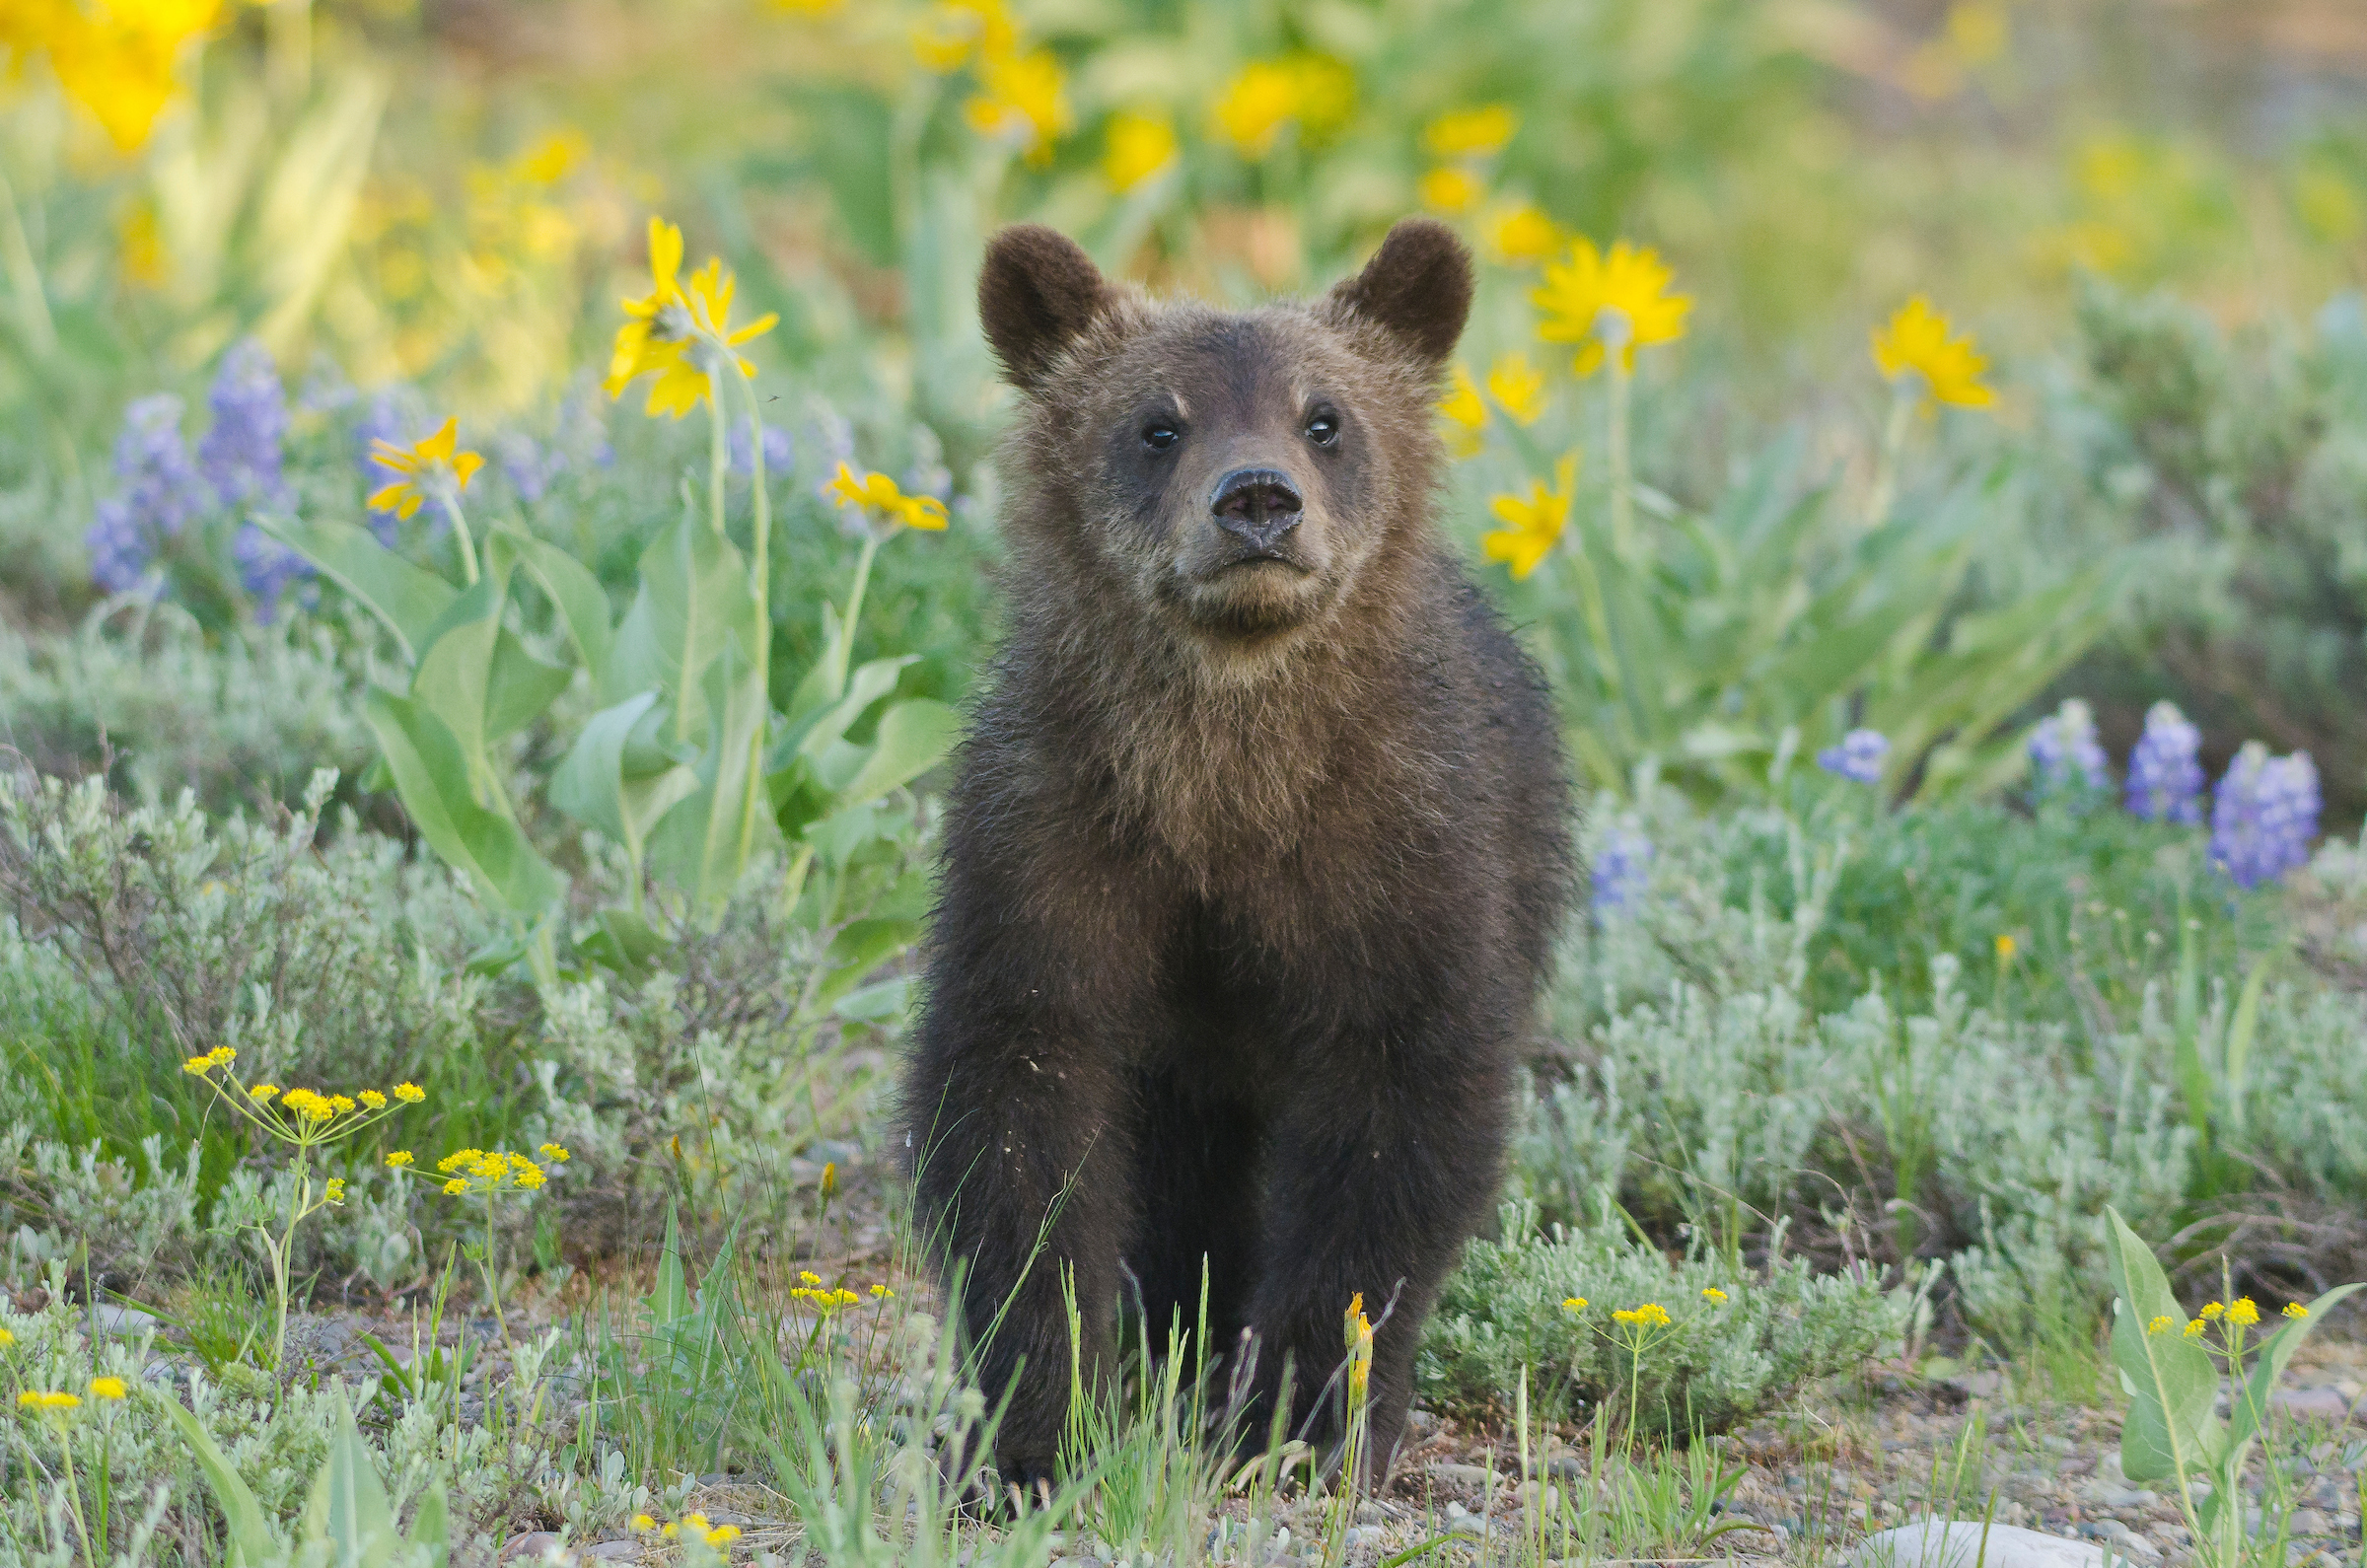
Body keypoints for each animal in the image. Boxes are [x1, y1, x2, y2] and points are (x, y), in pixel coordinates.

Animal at [901, 217, 1573, 1494]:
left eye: (1326, 416)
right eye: (1158, 423)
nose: (1257, 501)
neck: (1228, 781)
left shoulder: (1399, 853)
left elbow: (1396, 1118)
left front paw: (1300, 1413)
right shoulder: (1058, 837)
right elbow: (1019, 1106)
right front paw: (1031, 1423)